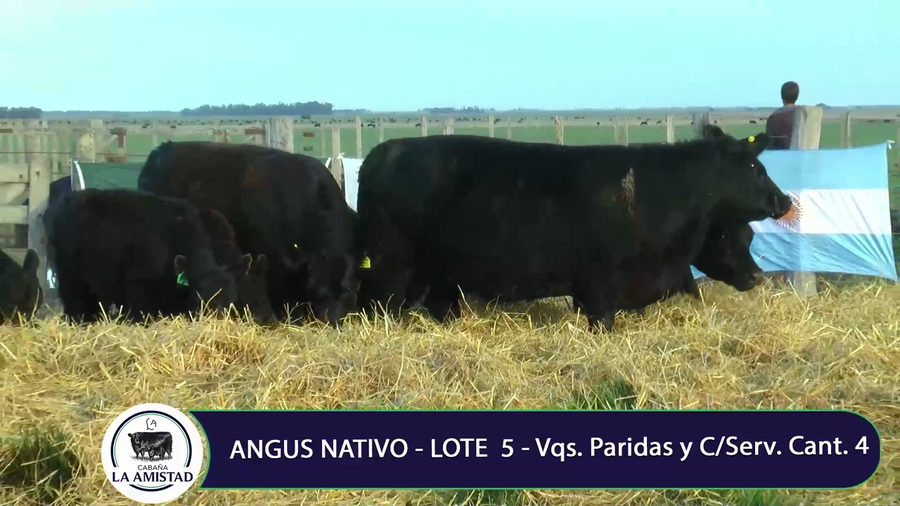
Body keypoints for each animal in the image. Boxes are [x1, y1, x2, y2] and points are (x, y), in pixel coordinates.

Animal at [355, 132, 790, 332]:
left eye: (749, 237)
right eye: (755, 167)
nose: (784, 200)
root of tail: (381, 153)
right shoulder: (601, 285)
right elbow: (603, 321)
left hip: (439, 272)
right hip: (393, 264)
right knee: (379, 305)